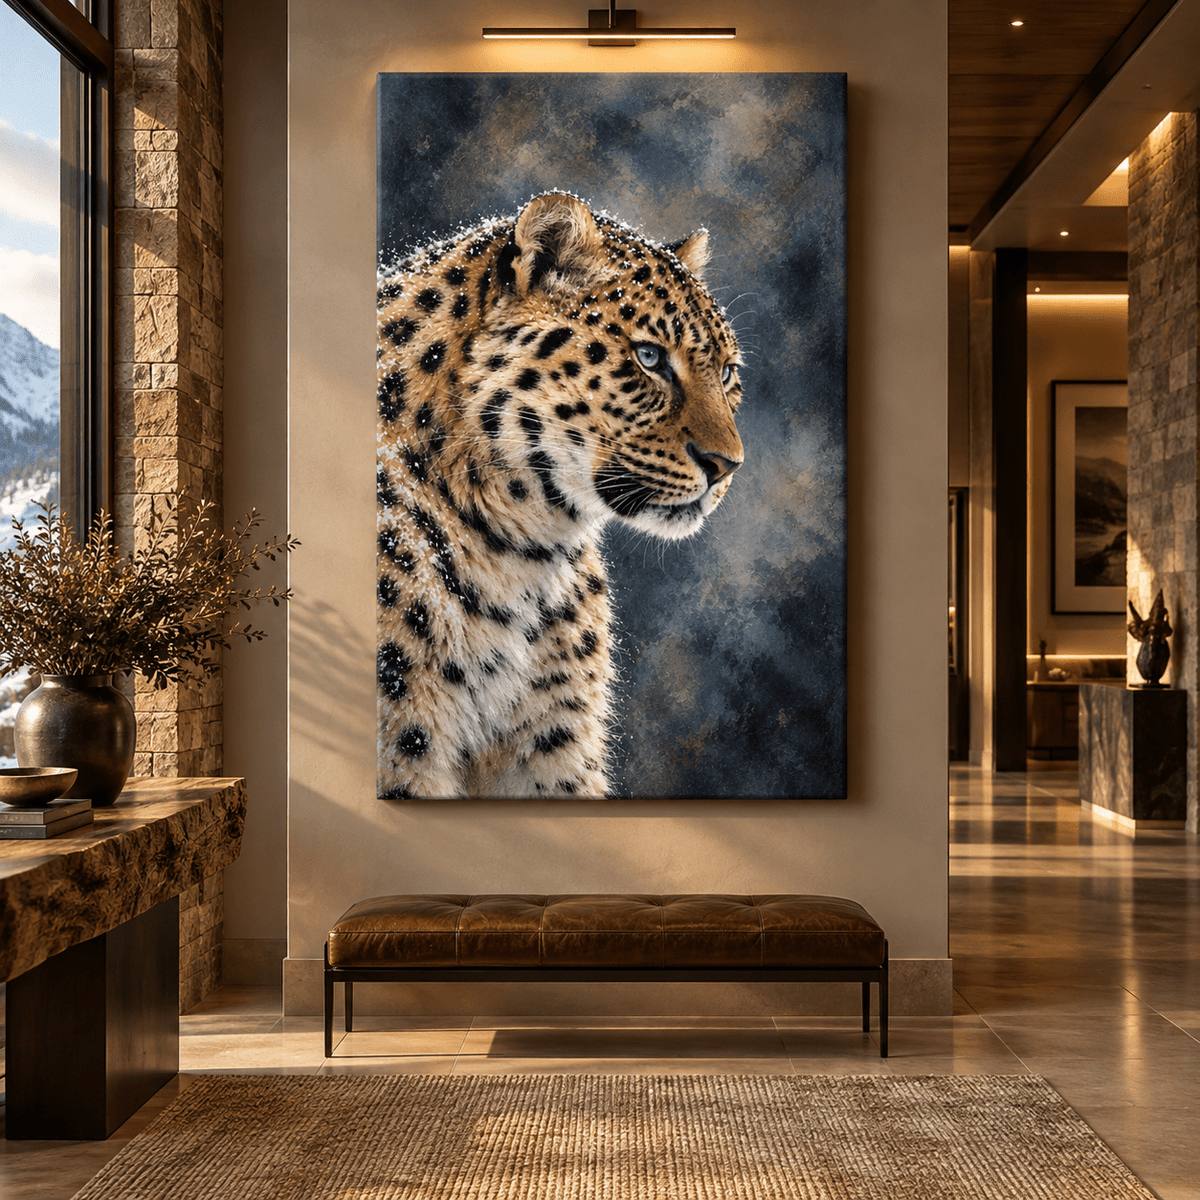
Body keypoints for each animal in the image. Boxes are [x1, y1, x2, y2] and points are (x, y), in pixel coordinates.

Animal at [376, 191, 744, 799]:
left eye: (729, 372)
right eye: (649, 358)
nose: (726, 466)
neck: (522, 553)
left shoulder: (553, 745)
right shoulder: (405, 737)